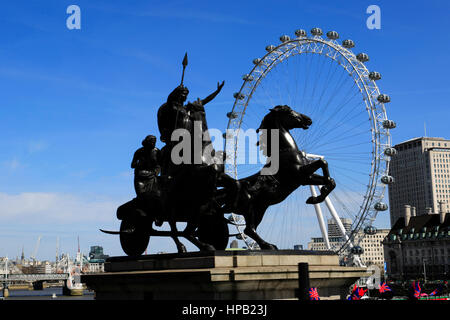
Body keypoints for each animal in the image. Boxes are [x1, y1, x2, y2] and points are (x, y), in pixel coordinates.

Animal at [223, 105, 336, 250]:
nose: (309, 119)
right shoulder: (299, 174)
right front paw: (317, 196)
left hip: (259, 209)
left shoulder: (305, 178)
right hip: (250, 209)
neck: (285, 151)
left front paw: (317, 196)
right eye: (289, 111)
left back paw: (268, 245)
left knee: (249, 229)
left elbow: (330, 179)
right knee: (249, 229)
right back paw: (268, 246)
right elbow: (323, 162)